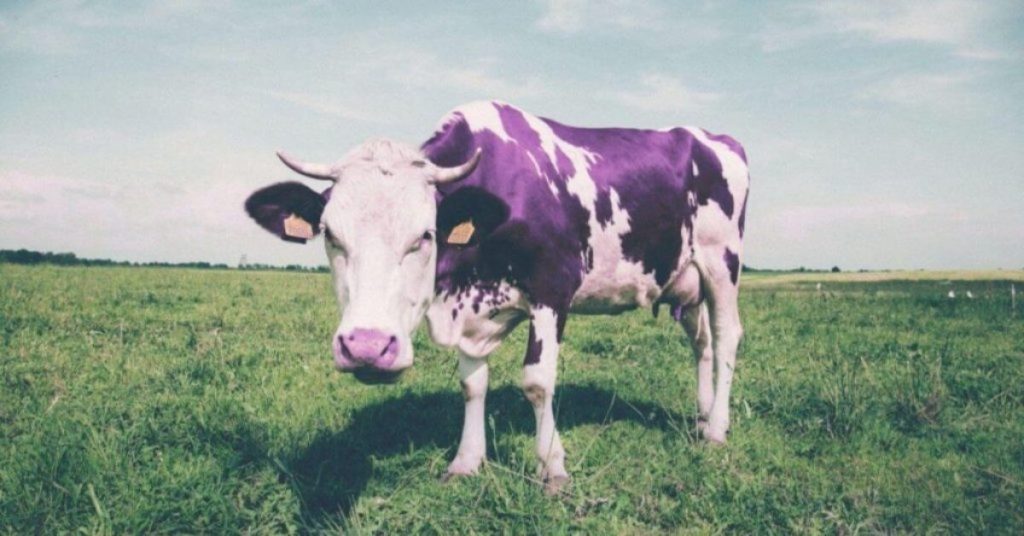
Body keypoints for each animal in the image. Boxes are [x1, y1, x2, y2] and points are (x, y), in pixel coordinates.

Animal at [245, 101, 749, 494]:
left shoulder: (552, 288)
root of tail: (712, 137)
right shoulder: (467, 313)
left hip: (722, 262)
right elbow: (472, 384)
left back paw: (717, 430)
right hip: (687, 280)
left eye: (425, 235)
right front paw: (467, 461)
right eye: (330, 235)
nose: (367, 347)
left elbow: (537, 381)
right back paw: (702, 416)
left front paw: (552, 467)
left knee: (726, 336)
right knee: (702, 343)